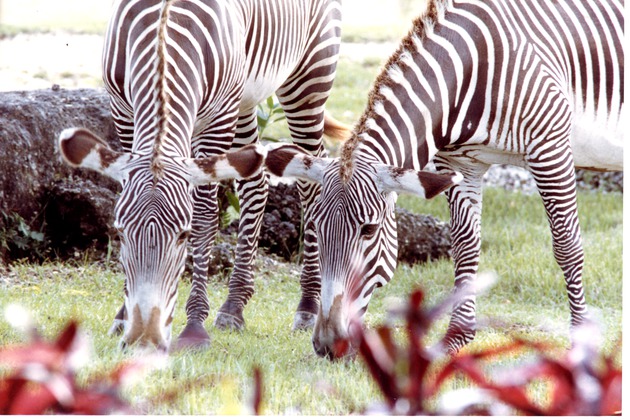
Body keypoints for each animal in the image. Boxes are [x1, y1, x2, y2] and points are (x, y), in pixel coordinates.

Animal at [58, 0, 346, 352]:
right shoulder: (123, 113)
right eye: (121, 233)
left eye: (183, 236)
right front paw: (122, 316)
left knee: (310, 183)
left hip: (309, 79)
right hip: (245, 99)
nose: (143, 339)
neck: (163, 32)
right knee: (256, 183)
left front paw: (194, 325)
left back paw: (308, 305)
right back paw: (234, 305)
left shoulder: (217, 120)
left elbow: (205, 216)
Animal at [268, 0, 628, 358]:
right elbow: (465, 244)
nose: (327, 345)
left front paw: (582, 345)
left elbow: (567, 246)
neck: (472, 68)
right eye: (314, 227)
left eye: (368, 230)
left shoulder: (550, 148)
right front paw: (456, 337)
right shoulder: (458, 162)